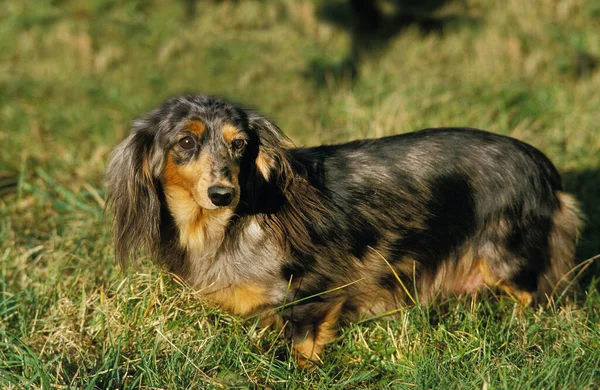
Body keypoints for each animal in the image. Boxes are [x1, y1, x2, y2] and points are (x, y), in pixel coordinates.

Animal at [105, 93, 584, 364]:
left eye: (239, 145)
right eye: (185, 142)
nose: (224, 194)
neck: (227, 227)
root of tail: (542, 167)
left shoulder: (313, 289)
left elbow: (302, 345)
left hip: (505, 258)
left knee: (532, 295)